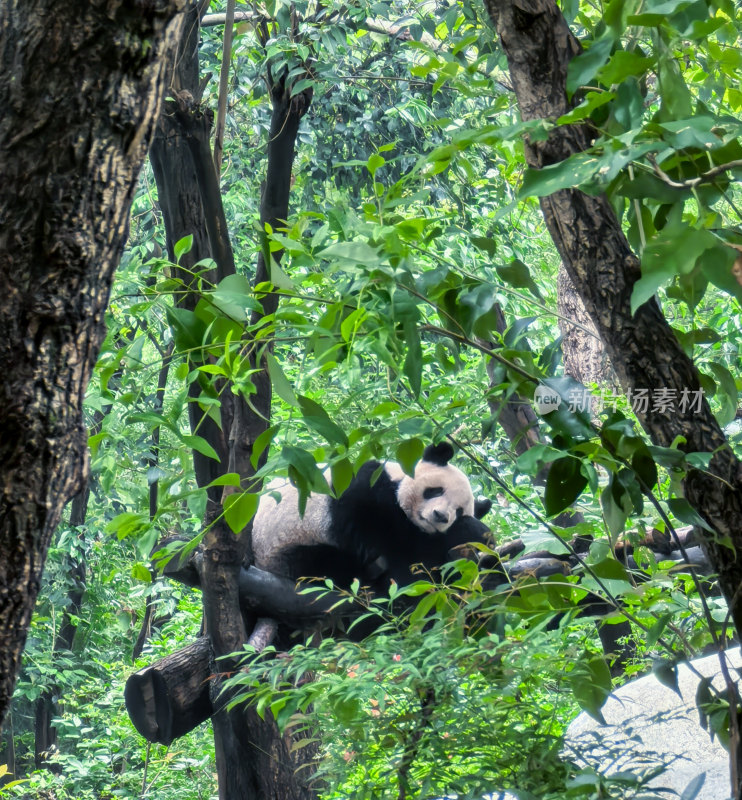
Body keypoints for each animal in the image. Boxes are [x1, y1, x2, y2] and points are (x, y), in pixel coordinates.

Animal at [253, 444, 496, 592]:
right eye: (436, 491)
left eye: (458, 511)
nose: (440, 516)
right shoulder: (366, 487)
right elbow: (395, 542)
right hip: (288, 545)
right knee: (325, 565)